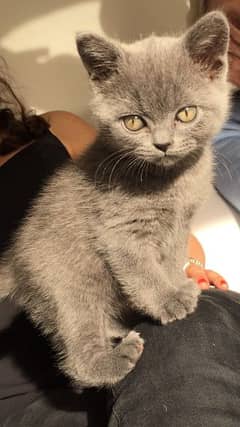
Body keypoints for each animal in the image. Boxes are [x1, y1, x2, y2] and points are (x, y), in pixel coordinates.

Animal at [0, 12, 230, 388]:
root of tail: (15, 266)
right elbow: (141, 270)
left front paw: (178, 283)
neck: (169, 182)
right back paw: (113, 359)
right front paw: (168, 300)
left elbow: (171, 259)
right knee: (76, 353)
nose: (162, 144)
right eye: (134, 122)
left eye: (185, 114)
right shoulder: (118, 230)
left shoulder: (180, 225)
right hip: (68, 284)